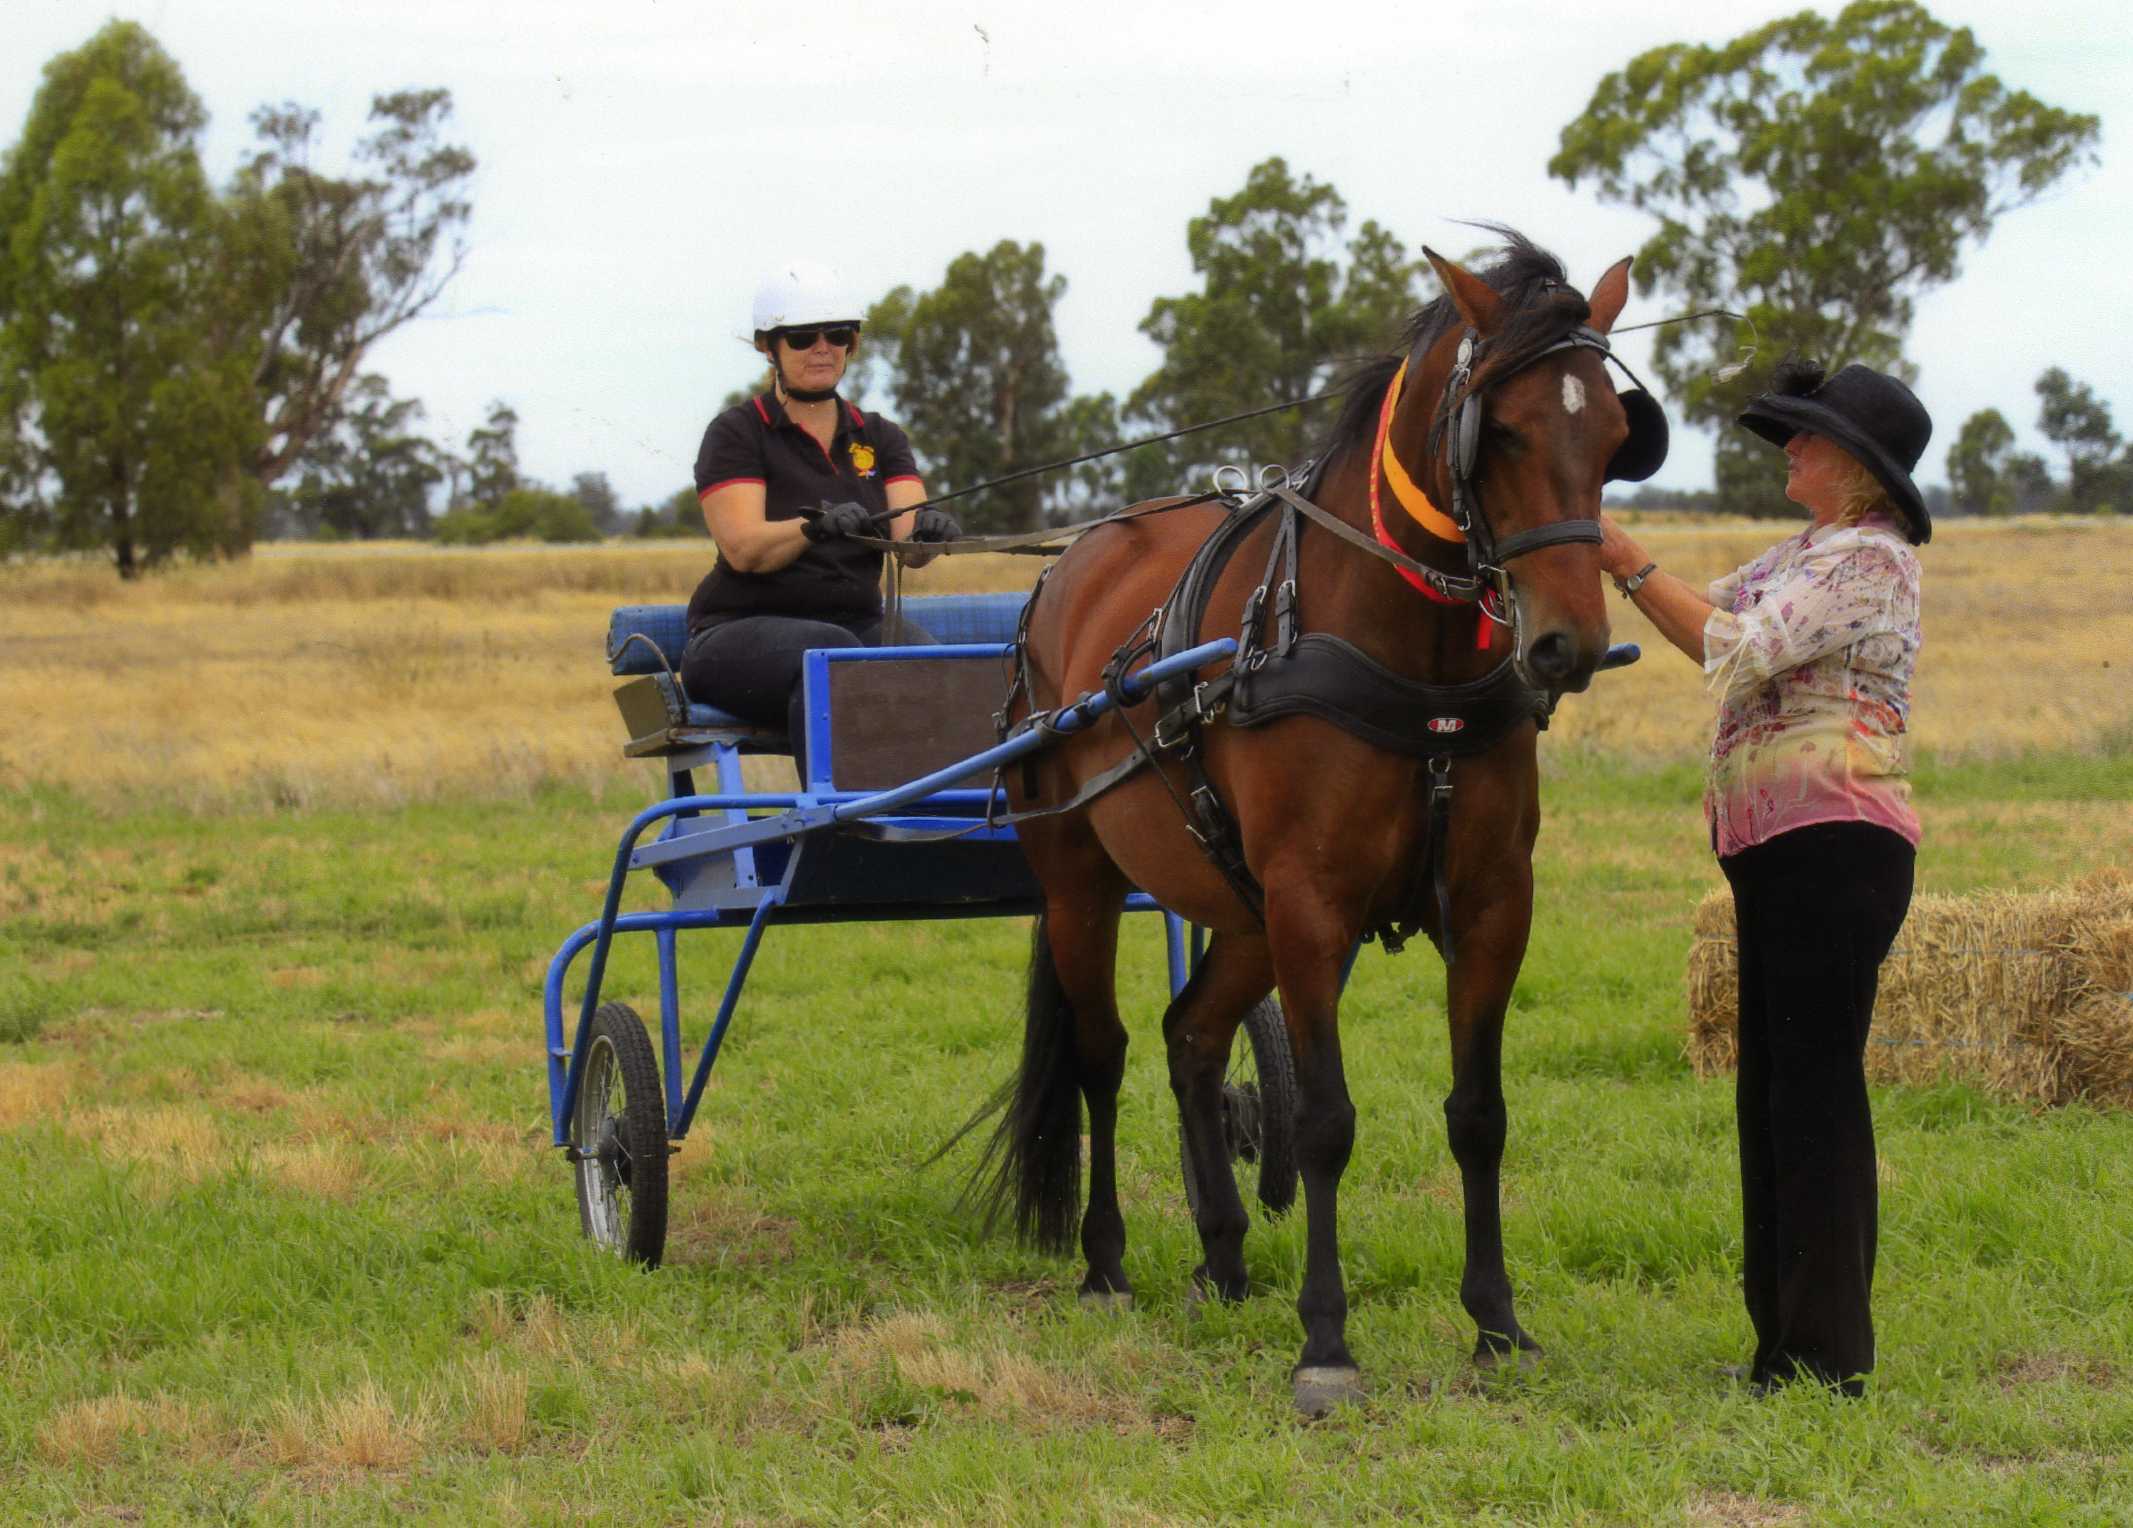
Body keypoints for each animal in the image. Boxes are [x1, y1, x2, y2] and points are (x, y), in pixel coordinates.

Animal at [968, 232, 1663, 1417]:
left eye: (1618, 437)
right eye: (1503, 430)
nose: (1566, 645)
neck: (1408, 658)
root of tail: (1069, 563)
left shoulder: (1491, 908)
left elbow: (1479, 1113)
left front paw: (1496, 1322)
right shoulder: (1312, 907)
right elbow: (1324, 1122)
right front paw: (1326, 1342)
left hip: (1241, 911)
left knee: (1191, 1037)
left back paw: (1222, 1253)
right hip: (1082, 881)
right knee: (1105, 1054)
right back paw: (1106, 1264)